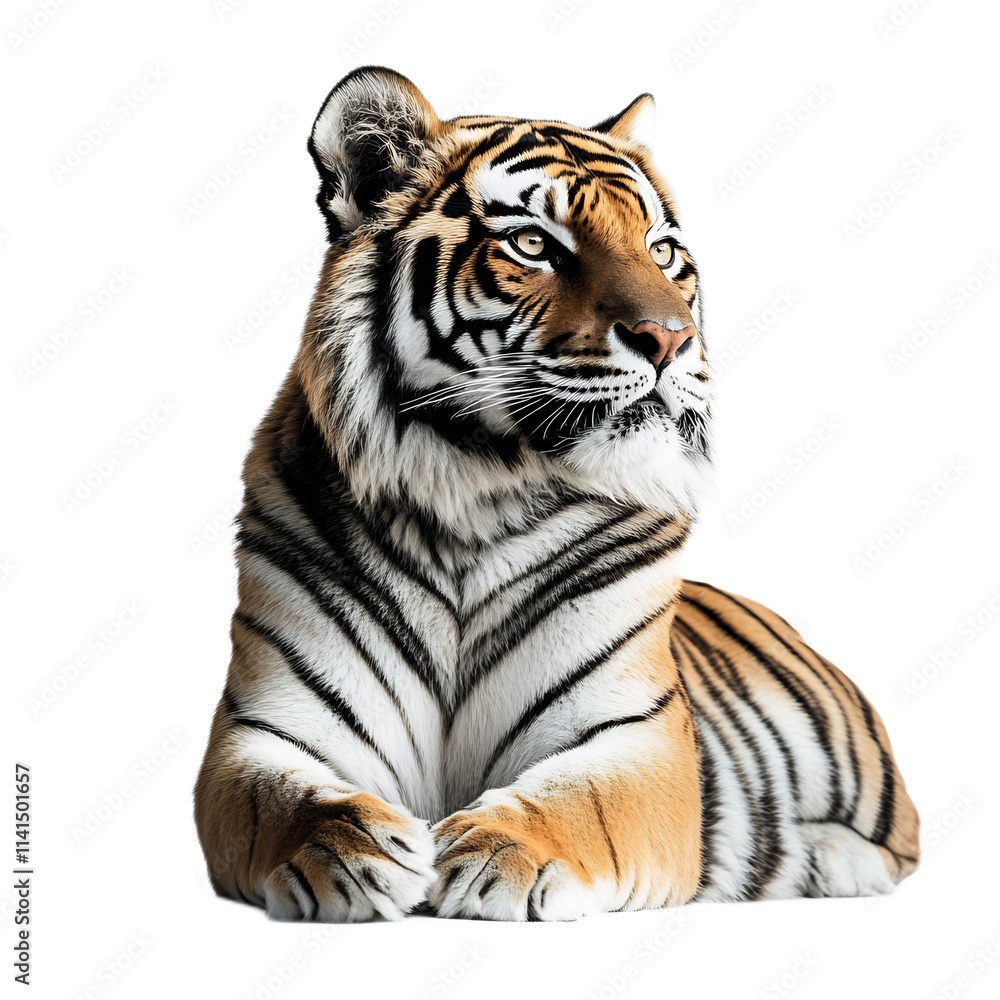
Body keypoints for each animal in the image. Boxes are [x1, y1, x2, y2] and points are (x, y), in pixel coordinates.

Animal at [194, 65, 920, 922]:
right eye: (535, 244)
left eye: (662, 251)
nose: (671, 339)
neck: (472, 496)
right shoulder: (263, 729)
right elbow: (288, 801)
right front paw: (357, 851)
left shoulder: (633, 734)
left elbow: (581, 804)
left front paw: (495, 853)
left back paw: (829, 862)